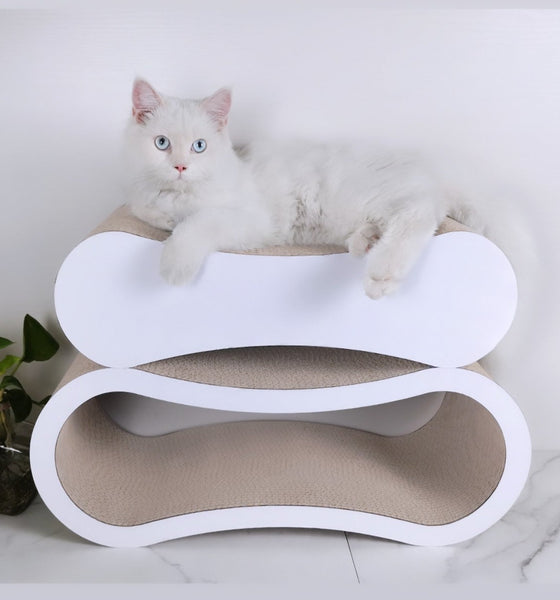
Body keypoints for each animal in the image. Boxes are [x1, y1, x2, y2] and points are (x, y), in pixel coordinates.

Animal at [124, 79, 479, 299]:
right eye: (162, 143)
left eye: (199, 146)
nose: (180, 167)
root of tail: (430, 169)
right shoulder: (142, 194)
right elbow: (140, 207)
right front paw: (164, 218)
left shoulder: (250, 220)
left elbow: (197, 224)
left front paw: (174, 264)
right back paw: (365, 241)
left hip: (378, 197)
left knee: (417, 215)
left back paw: (382, 274)